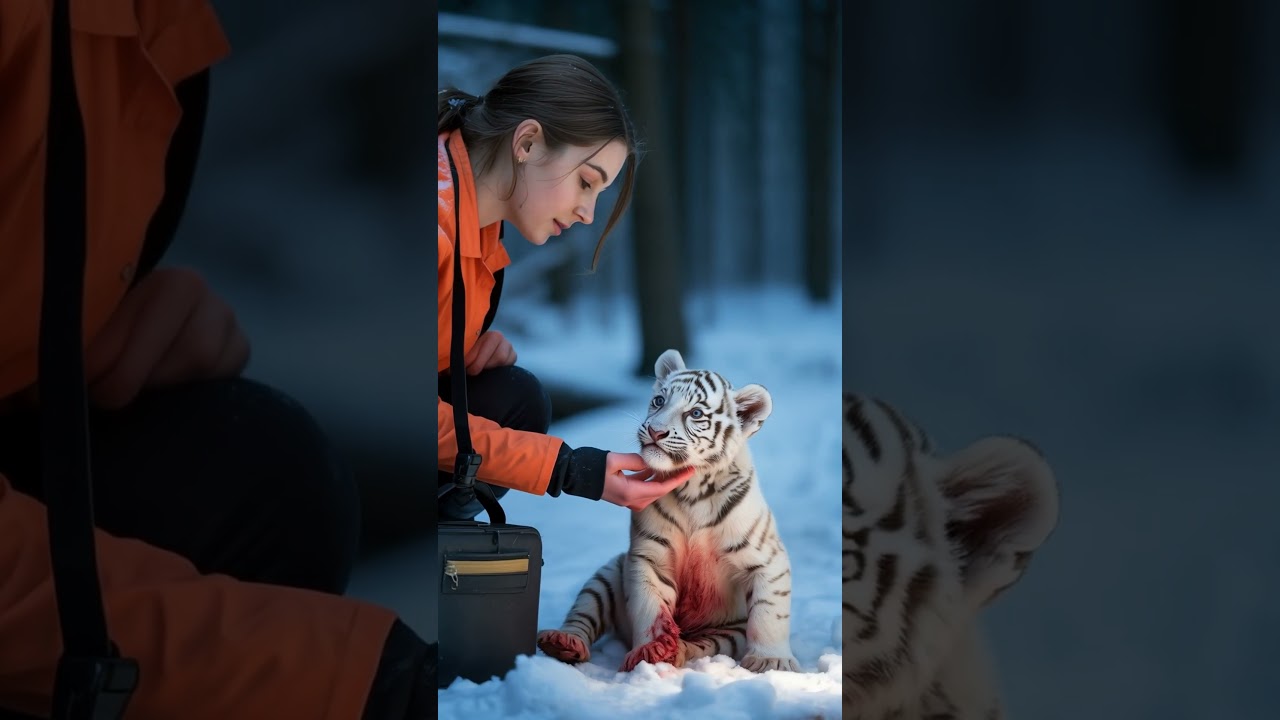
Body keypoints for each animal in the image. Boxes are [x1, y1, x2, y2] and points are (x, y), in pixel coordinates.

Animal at [536, 348, 800, 674]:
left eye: (696, 414)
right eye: (659, 400)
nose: (655, 430)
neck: (694, 491)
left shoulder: (768, 559)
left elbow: (769, 613)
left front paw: (771, 662)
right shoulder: (650, 557)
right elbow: (649, 608)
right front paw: (650, 651)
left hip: (728, 635)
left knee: (700, 645)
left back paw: (677, 650)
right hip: (605, 578)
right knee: (582, 615)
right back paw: (563, 643)